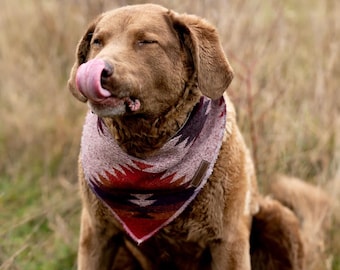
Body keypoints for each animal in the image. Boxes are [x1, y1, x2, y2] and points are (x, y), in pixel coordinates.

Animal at [65, 3, 322, 268]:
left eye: (146, 41)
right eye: (98, 42)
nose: (99, 70)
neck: (148, 148)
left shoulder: (228, 241)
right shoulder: (96, 234)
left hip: (280, 217)